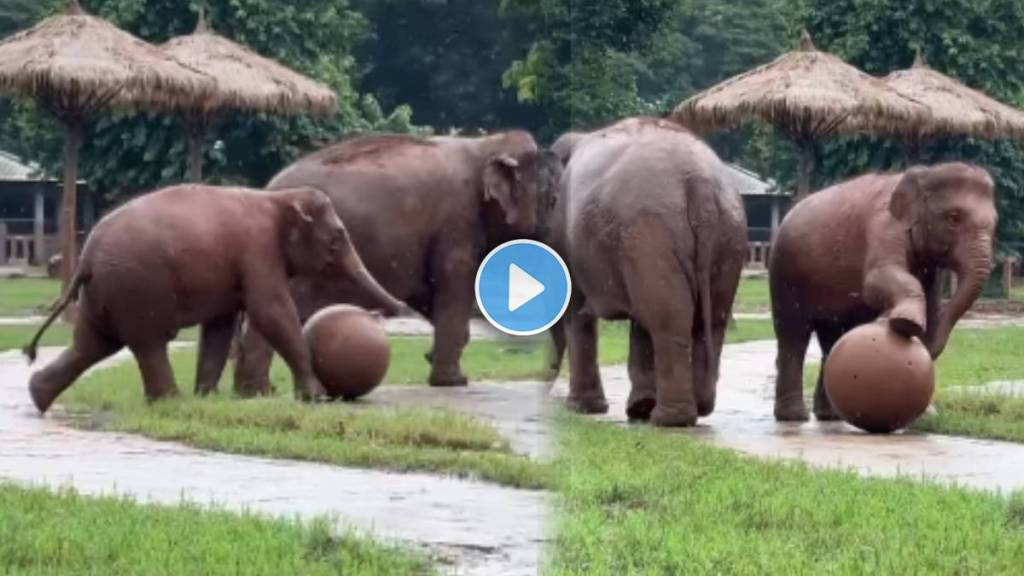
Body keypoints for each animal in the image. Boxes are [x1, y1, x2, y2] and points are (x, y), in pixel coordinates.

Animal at [24, 183, 407, 412]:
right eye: (337, 237)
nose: (402, 309)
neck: (278, 198)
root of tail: (85, 258)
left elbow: (220, 326)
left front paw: (208, 397)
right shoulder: (258, 249)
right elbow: (272, 310)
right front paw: (316, 397)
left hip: (105, 292)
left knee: (93, 344)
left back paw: (38, 396)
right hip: (136, 288)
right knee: (147, 343)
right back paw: (172, 403)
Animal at [232, 130, 561, 391]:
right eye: (555, 201)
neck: (488, 144)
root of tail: (267, 189)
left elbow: (429, 294)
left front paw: (438, 362)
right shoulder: (457, 223)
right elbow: (454, 287)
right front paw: (453, 382)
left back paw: (253, 391)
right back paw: (259, 392)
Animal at [548, 116, 749, 424]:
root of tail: (698, 180)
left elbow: (576, 310)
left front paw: (582, 409)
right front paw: (636, 408)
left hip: (648, 232)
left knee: (667, 321)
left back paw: (668, 419)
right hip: (727, 234)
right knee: (712, 318)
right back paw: (695, 407)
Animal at [770, 162, 995, 422]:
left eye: (995, 223)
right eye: (954, 218)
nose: (925, 341)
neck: (925, 173)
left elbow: (930, 298)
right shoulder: (884, 225)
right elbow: (877, 279)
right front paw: (907, 323)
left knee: (833, 338)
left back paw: (830, 416)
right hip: (786, 274)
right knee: (793, 335)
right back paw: (794, 417)